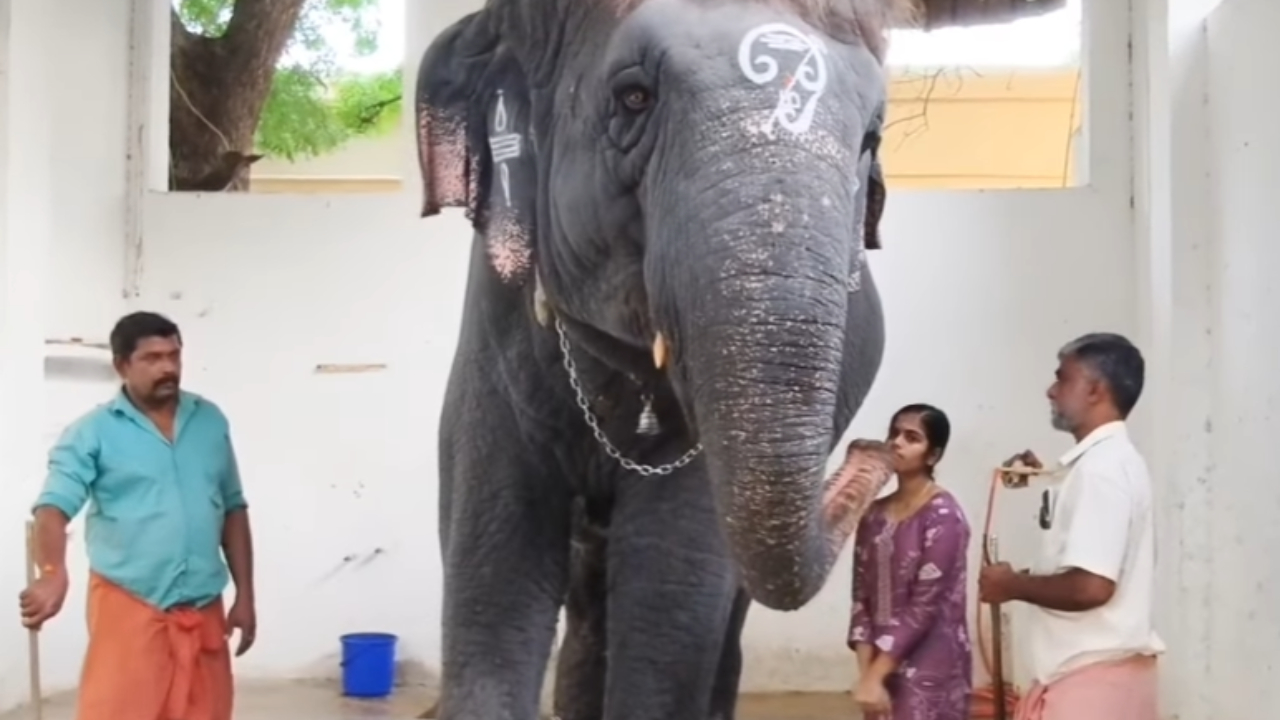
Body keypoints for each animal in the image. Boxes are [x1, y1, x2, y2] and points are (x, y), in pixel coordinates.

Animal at [415, 0, 905, 718]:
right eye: (634, 98)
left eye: (872, 136)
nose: (879, 449)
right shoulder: (492, 347)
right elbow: (492, 584)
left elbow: (669, 596)